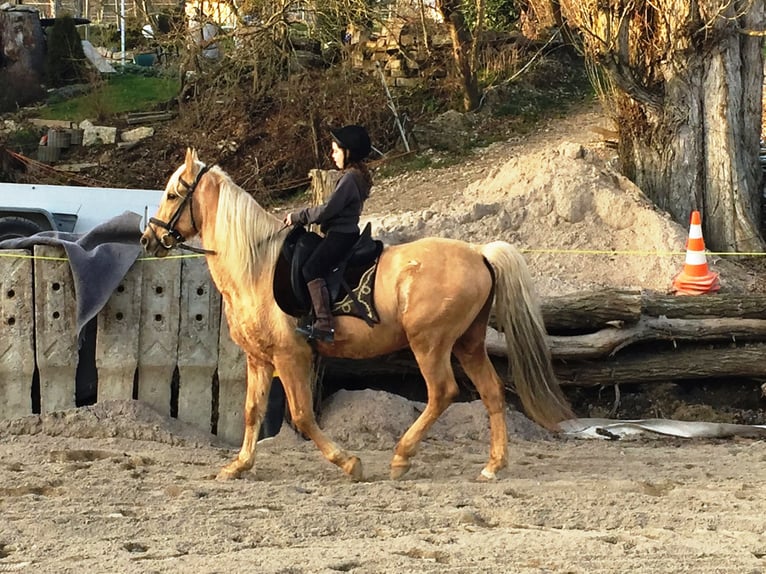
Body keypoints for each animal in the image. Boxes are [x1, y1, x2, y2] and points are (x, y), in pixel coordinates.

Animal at [141, 148, 572, 482]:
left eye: (172, 194)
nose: (149, 239)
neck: (256, 266)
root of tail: (479, 252)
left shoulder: (290, 356)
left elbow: (302, 416)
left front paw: (349, 463)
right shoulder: (259, 358)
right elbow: (251, 413)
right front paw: (238, 466)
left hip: (430, 343)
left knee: (442, 393)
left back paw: (401, 457)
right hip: (468, 342)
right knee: (492, 392)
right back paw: (493, 466)